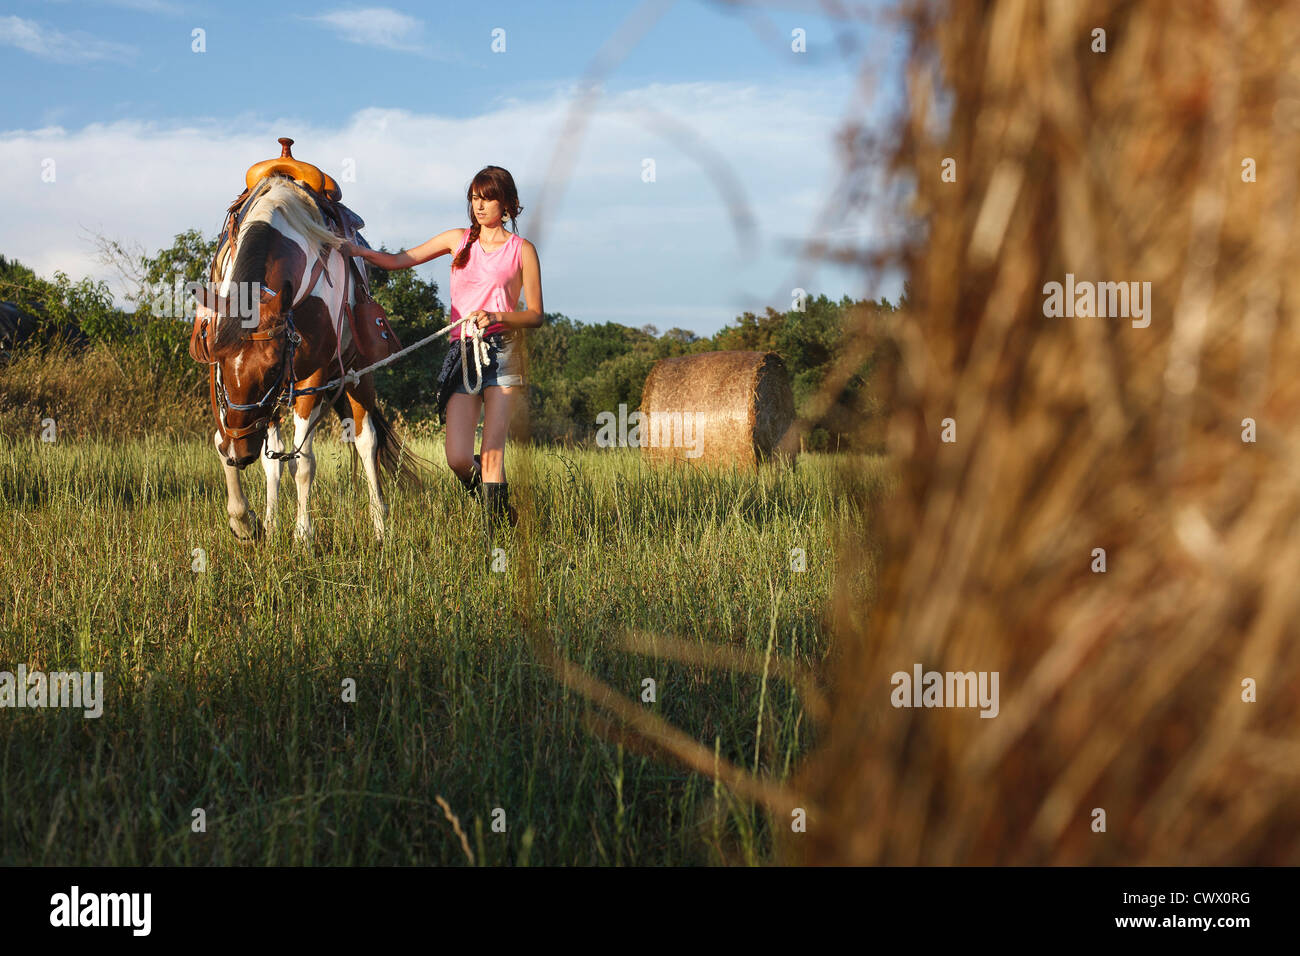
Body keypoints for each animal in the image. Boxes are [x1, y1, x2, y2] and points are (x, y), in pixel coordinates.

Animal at [192, 174, 413, 541]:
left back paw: (380, 527)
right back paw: (269, 524)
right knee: (272, 461)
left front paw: (303, 535)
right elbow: (227, 444)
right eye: (220, 363)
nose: (241, 454)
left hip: (357, 375)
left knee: (366, 442)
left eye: (270, 370)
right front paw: (245, 521)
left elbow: (303, 462)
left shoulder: (313, 376)